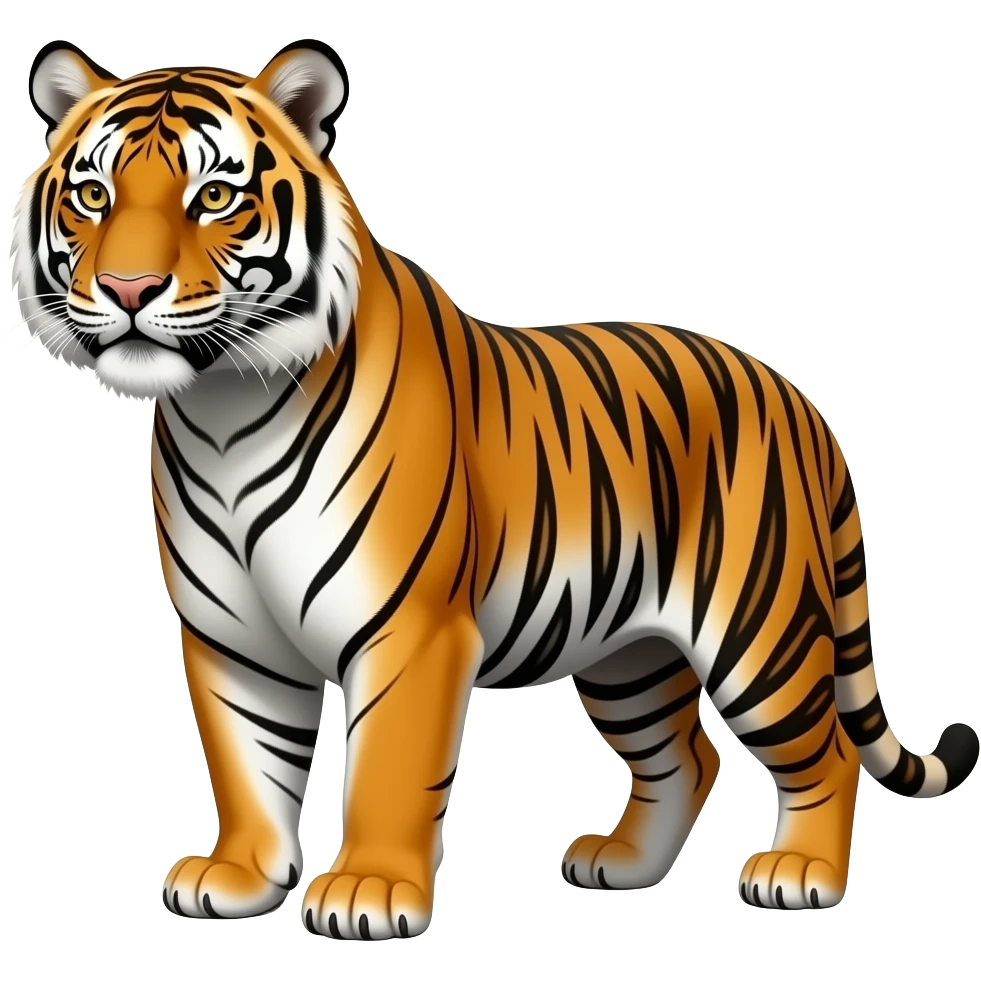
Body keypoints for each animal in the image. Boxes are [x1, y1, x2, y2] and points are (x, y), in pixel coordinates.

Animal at [10, 36, 978, 940]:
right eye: (93, 195)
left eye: (213, 196)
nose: (128, 288)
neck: (222, 405)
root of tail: (795, 395)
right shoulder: (231, 633)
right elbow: (247, 761)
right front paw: (240, 876)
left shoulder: (409, 627)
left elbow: (389, 767)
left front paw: (367, 891)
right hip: (626, 652)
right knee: (685, 755)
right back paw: (621, 864)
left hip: (758, 627)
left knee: (826, 751)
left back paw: (799, 873)